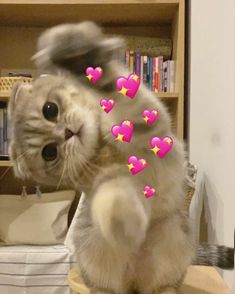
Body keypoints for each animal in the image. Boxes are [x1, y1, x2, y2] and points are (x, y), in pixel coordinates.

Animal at [7, 21, 233, 292]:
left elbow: (120, 90)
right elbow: (113, 199)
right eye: (49, 152)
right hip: (94, 245)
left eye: (50, 109)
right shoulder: (108, 183)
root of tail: (134, 282)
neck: (104, 144)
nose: (67, 133)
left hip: (173, 234)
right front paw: (125, 222)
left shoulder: (151, 125)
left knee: (163, 285)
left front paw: (77, 52)